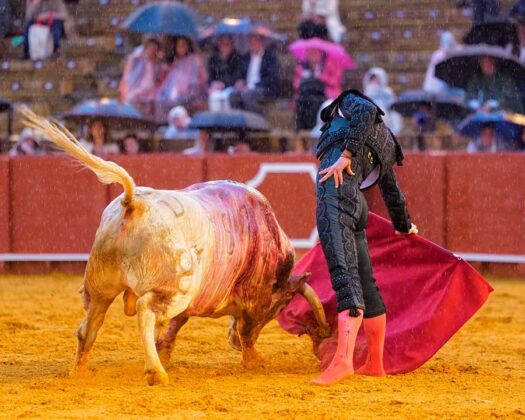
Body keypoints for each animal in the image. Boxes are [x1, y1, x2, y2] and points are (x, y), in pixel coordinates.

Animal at [22, 108, 330, 386]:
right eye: (281, 307)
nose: (229, 340)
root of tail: (134, 203)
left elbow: (177, 325)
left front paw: (166, 352)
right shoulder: (252, 300)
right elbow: (247, 331)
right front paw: (254, 361)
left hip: (101, 287)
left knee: (90, 326)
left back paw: (80, 373)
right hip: (170, 290)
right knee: (145, 310)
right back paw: (155, 373)